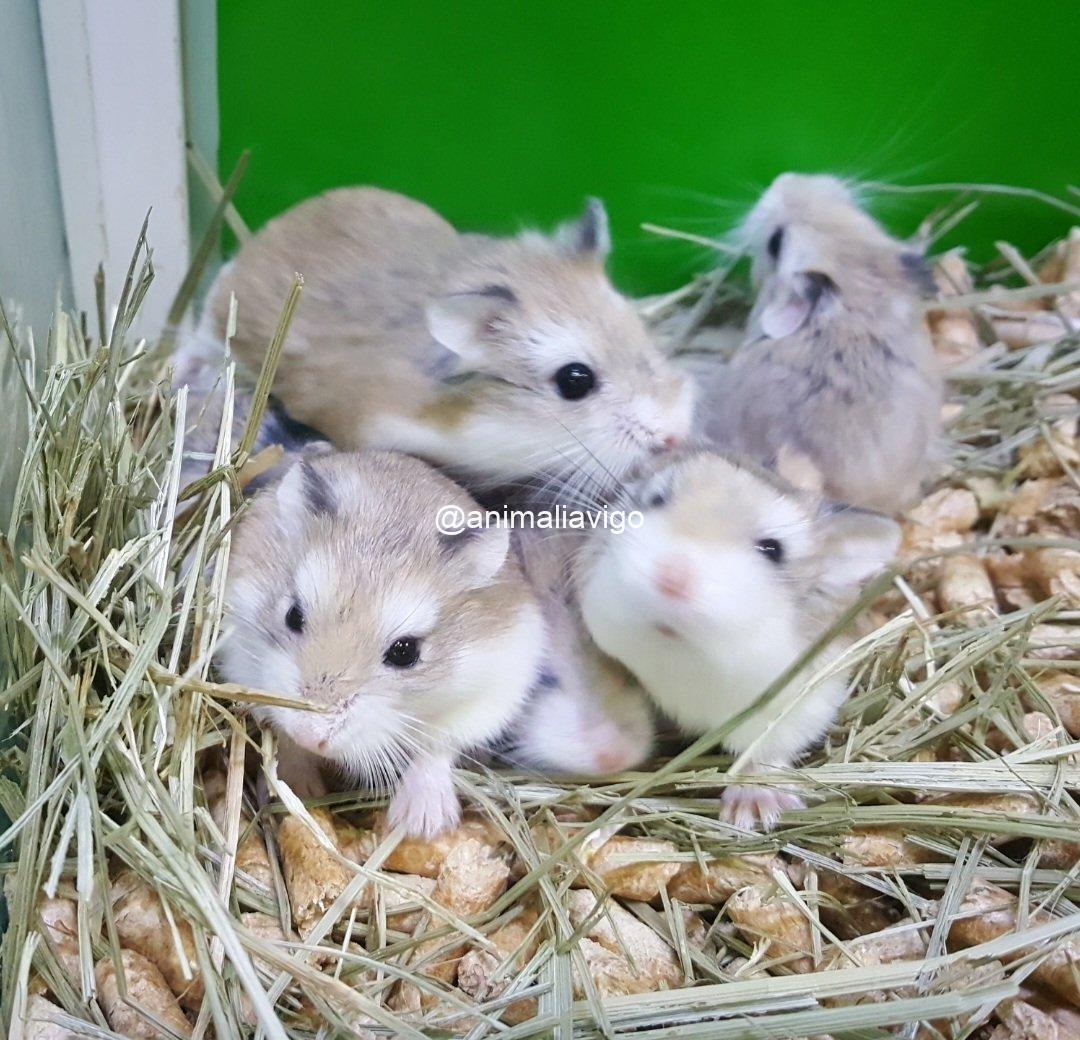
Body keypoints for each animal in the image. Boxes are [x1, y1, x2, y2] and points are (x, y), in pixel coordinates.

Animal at [216, 450, 545, 837]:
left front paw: (422, 825)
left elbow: (438, 747)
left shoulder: (490, 696)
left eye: (406, 653)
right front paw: (298, 789)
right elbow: (285, 737)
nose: (312, 736)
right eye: (293, 615)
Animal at [574, 448, 899, 830]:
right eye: (656, 499)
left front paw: (754, 811)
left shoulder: (805, 700)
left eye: (772, 549)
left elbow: (764, 747)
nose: (670, 578)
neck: (680, 652)